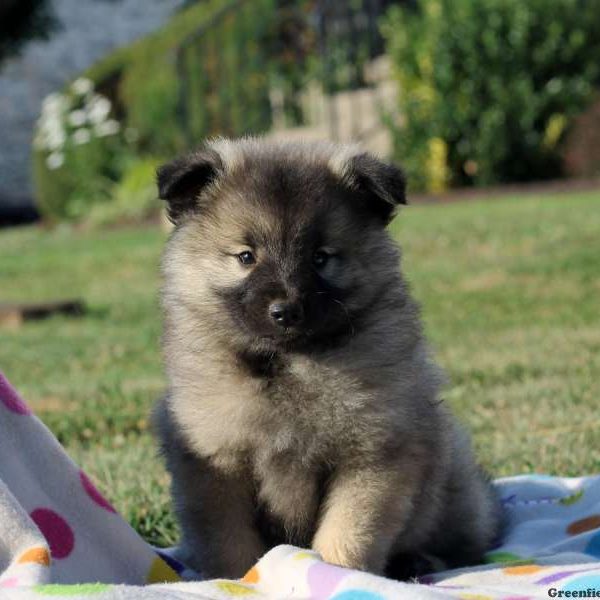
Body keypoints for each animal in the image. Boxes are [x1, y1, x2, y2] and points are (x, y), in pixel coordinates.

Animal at [154, 138, 502, 580]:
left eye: (320, 257)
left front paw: (336, 574)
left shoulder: (373, 455)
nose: (286, 311)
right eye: (246, 256)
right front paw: (241, 580)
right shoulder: (215, 463)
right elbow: (229, 541)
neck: (290, 367)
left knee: (466, 545)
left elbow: (348, 533)